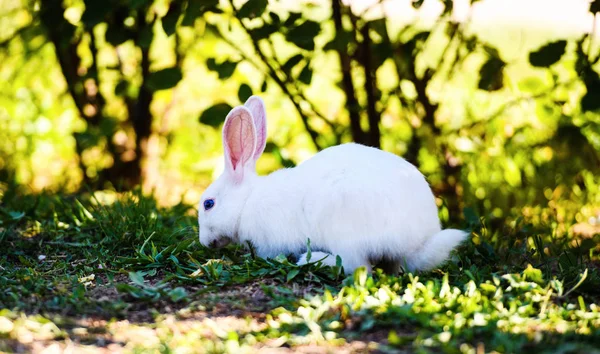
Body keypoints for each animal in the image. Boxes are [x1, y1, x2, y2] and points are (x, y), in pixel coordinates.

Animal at [199, 95, 466, 276]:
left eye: (208, 204)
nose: (204, 242)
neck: (246, 202)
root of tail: (416, 243)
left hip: (342, 231)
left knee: (356, 266)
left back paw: (311, 260)